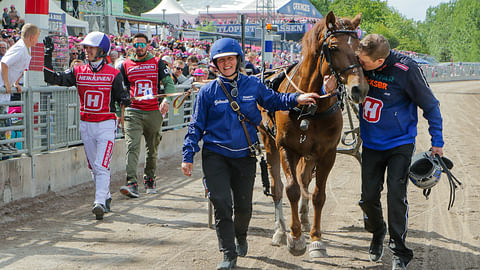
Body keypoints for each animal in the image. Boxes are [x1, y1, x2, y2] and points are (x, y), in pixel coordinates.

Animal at [258, 11, 368, 258]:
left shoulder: (327, 153)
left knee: (305, 179)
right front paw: (296, 238)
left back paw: (305, 218)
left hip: (308, 154)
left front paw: (316, 239)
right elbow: (291, 190)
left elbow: (318, 194)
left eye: (358, 48)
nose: (359, 88)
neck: (310, 107)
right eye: (334, 47)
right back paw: (280, 230)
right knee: (278, 187)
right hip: (269, 143)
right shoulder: (286, 148)